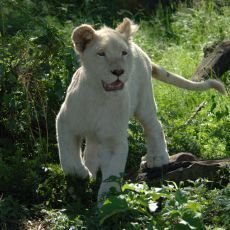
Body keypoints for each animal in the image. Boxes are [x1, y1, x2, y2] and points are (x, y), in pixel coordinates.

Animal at [56, 18, 226, 200]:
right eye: (101, 54)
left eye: (123, 53)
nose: (119, 71)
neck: (99, 95)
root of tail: (140, 49)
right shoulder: (65, 123)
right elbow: (68, 158)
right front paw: (82, 173)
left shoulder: (115, 139)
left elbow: (112, 175)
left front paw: (107, 201)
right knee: (92, 148)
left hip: (145, 103)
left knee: (154, 125)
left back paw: (157, 157)